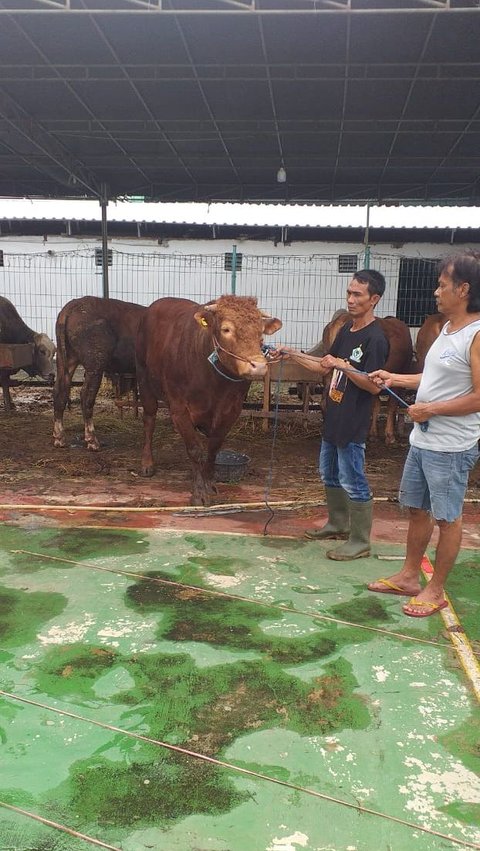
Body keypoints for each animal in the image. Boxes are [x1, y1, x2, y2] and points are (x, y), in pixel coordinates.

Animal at [52, 294, 145, 450]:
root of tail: (71, 306)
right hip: (95, 364)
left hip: (64, 358)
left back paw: (60, 439)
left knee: (60, 391)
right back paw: (93, 441)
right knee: (86, 395)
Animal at [136, 294, 282, 506]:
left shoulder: (231, 411)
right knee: (149, 420)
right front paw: (199, 493)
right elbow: (195, 449)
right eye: (226, 329)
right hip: (144, 381)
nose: (258, 366)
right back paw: (147, 463)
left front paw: (209, 485)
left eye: (260, 332)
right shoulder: (179, 409)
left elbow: (213, 448)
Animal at [318, 312, 412, 446]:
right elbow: (391, 406)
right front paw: (389, 435)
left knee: (324, 401)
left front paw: (373, 434)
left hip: (328, 373)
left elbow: (376, 405)